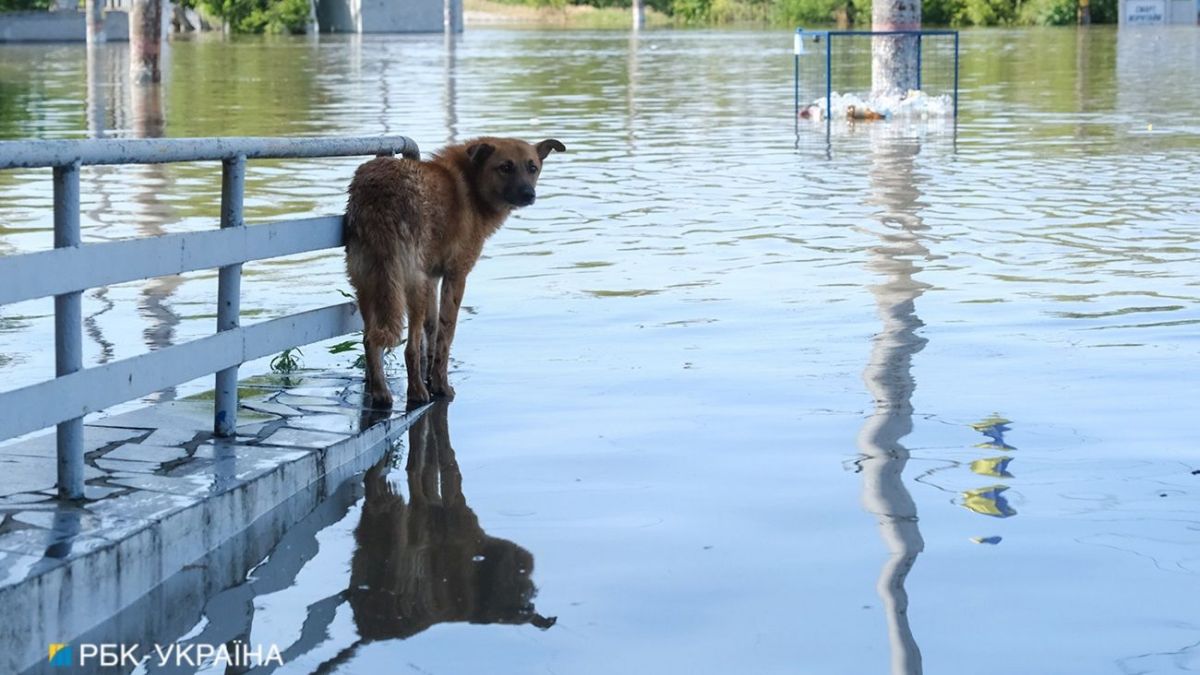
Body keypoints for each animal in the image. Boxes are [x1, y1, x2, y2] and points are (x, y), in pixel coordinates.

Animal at [345, 136, 564, 403]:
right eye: (505, 167)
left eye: (532, 167)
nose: (528, 194)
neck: (474, 183)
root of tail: (378, 192)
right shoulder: (455, 276)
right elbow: (445, 335)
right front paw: (440, 385)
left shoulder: (431, 277)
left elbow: (432, 329)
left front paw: (430, 374)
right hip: (409, 284)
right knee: (410, 348)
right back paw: (417, 393)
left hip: (367, 282)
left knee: (370, 340)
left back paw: (381, 394)